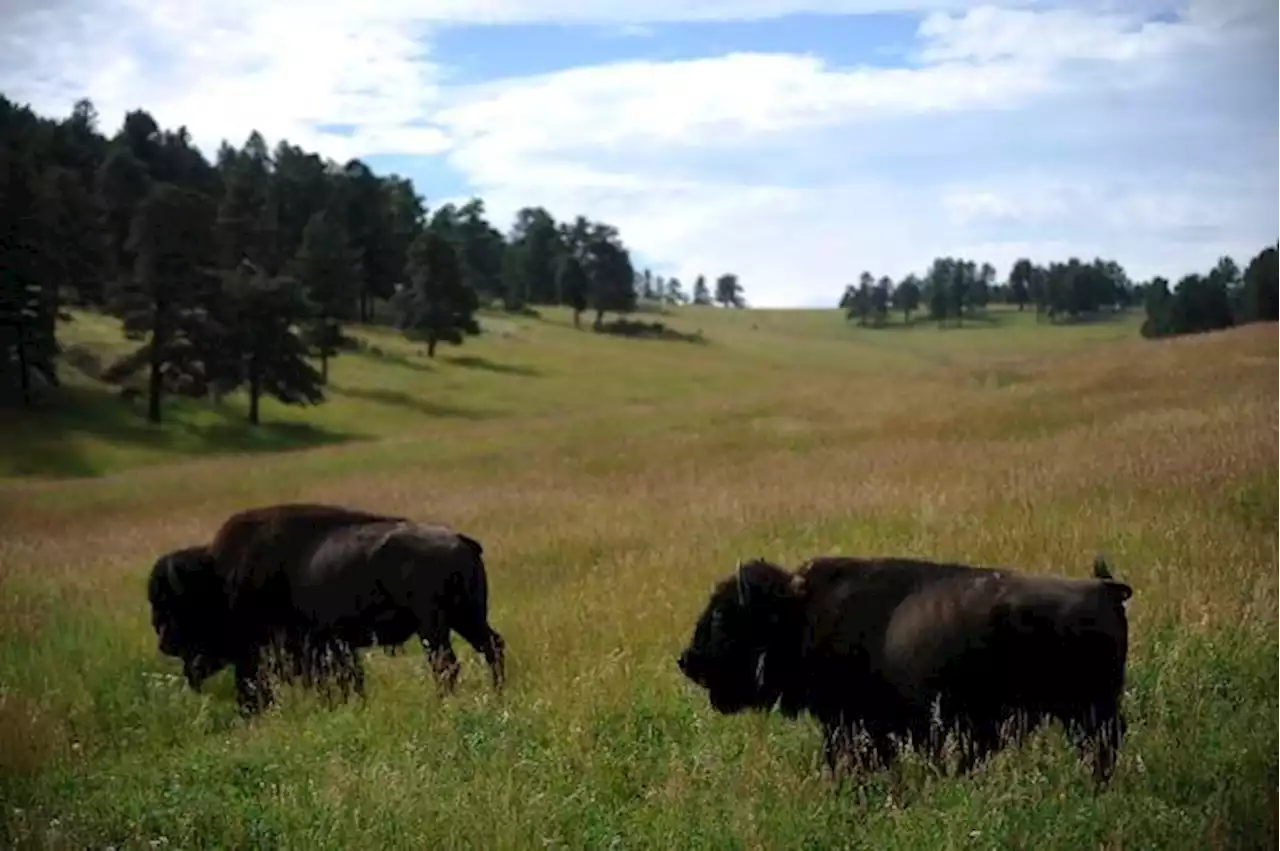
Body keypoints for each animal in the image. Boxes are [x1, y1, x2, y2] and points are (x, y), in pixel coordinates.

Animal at [146, 504, 504, 711]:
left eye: (173, 606)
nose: (163, 642)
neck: (217, 579)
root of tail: (461, 541)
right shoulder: (332, 647)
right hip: (467, 619)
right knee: (492, 647)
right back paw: (496, 694)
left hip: (434, 627)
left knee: (447, 664)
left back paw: (446, 702)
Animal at [675, 550, 1136, 783]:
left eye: (723, 617)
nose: (686, 660)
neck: (800, 614)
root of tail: (1104, 589)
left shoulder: (851, 727)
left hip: (1089, 717)